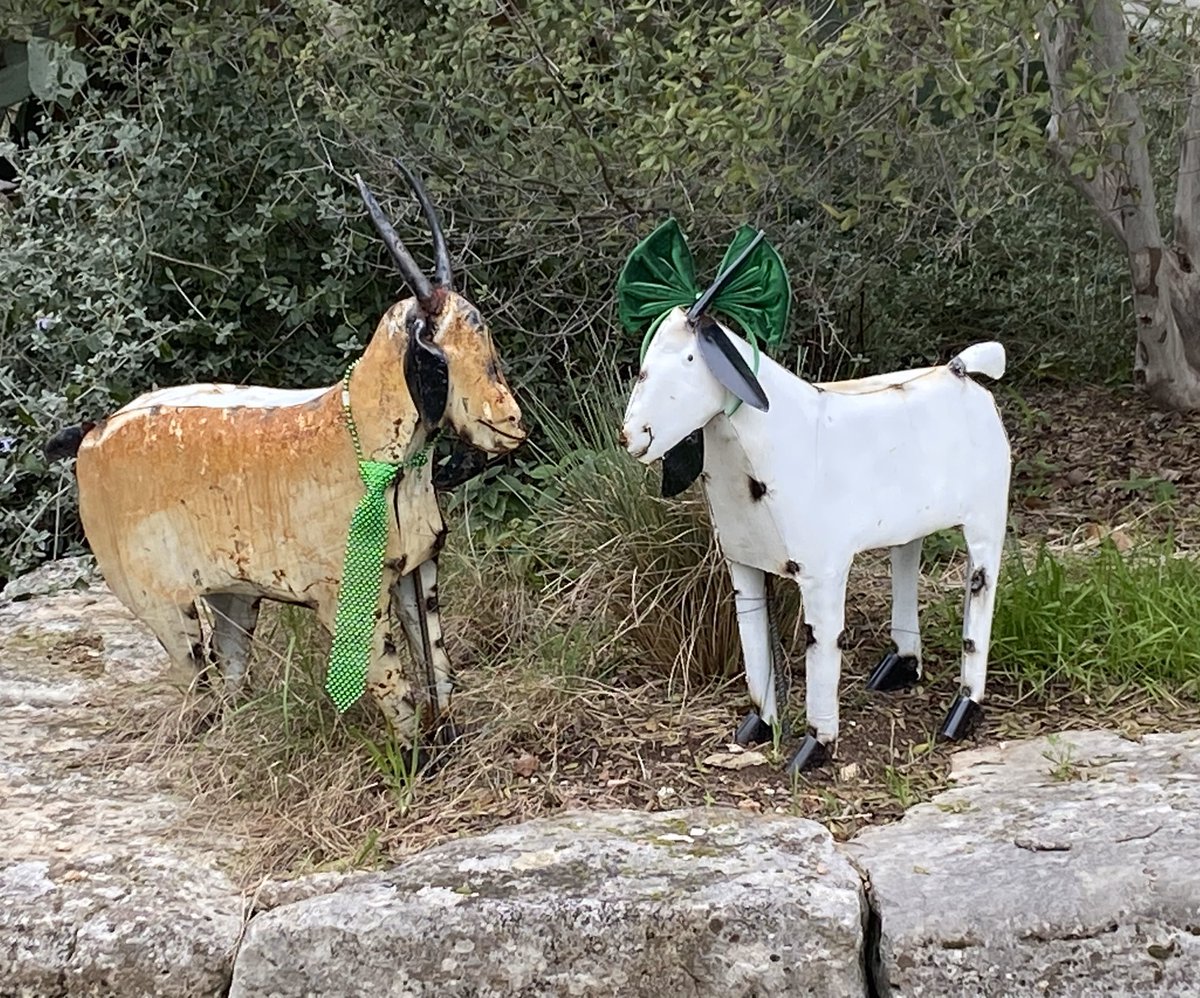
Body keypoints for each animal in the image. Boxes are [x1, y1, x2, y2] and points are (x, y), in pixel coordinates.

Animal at [44, 162, 525, 748]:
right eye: (437, 351)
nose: (510, 422)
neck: (369, 445)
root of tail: (91, 435)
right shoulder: (344, 597)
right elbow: (395, 684)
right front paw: (415, 758)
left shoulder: (420, 567)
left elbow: (437, 665)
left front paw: (448, 741)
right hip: (164, 607)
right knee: (195, 683)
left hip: (233, 594)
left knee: (229, 672)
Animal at [618, 223, 1010, 772]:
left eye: (693, 358)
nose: (633, 435)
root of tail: (962, 368)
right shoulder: (742, 560)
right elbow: (753, 640)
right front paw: (759, 727)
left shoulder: (823, 571)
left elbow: (820, 644)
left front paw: (812, 748)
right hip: (910, 521)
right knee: (906, 563)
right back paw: (899, 668)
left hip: (985, 521)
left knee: (981, 592)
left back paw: (961, 711)